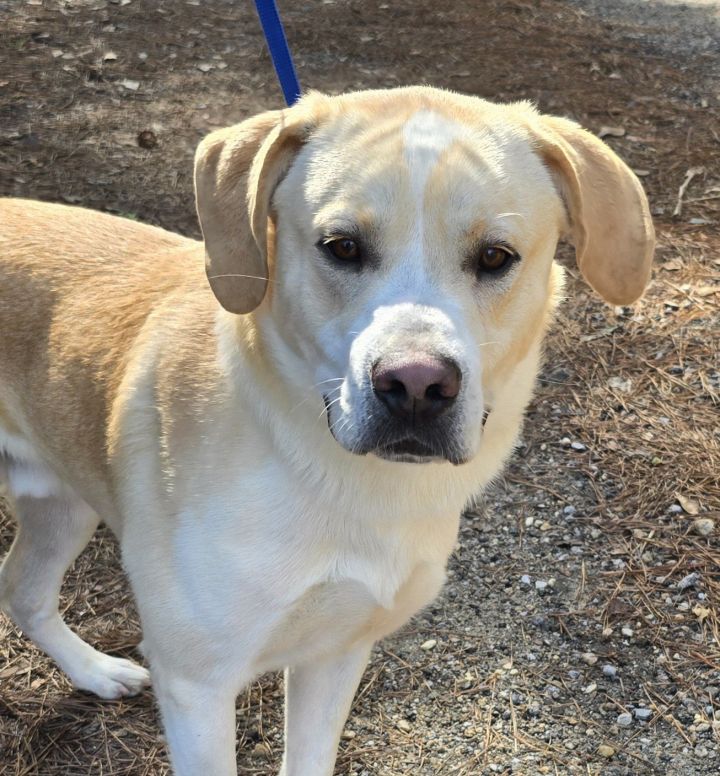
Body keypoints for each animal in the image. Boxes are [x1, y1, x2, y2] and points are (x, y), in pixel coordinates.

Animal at [0, 88, 652, 772]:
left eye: (495, 257)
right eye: (342, 247)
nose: (416, 387)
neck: (342, 479)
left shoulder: (337, 650)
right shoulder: (197, 685)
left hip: (63, 505)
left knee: (20, 589)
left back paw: (95, 671)